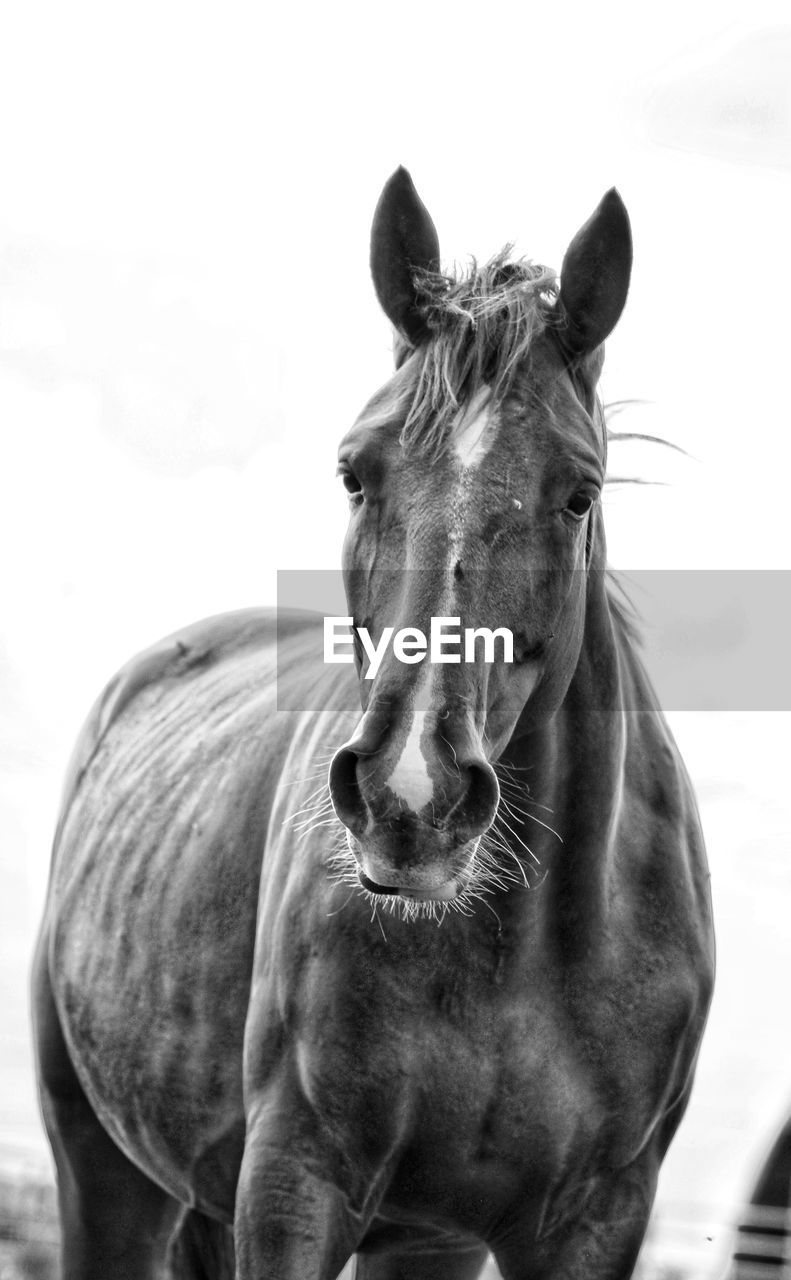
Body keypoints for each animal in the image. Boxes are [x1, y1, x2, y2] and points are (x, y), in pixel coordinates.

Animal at [32, 170, 716, 1280]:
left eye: (579, 493)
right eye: (356, 471)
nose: (411, 798)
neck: (514, 954)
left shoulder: (594, 1221)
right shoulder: (295, 1183)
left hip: (411, 1238)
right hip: (102, 1163)